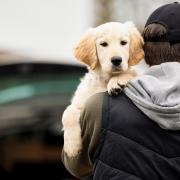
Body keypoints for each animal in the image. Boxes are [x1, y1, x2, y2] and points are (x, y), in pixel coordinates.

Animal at [62, 22, 143, 158]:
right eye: (104, 44)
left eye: (123, 42)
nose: (117, 60)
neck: (105, 80)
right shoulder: (81, 102)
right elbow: (67, 112)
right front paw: (72, 146)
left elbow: (130, 73)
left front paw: (117, 81)